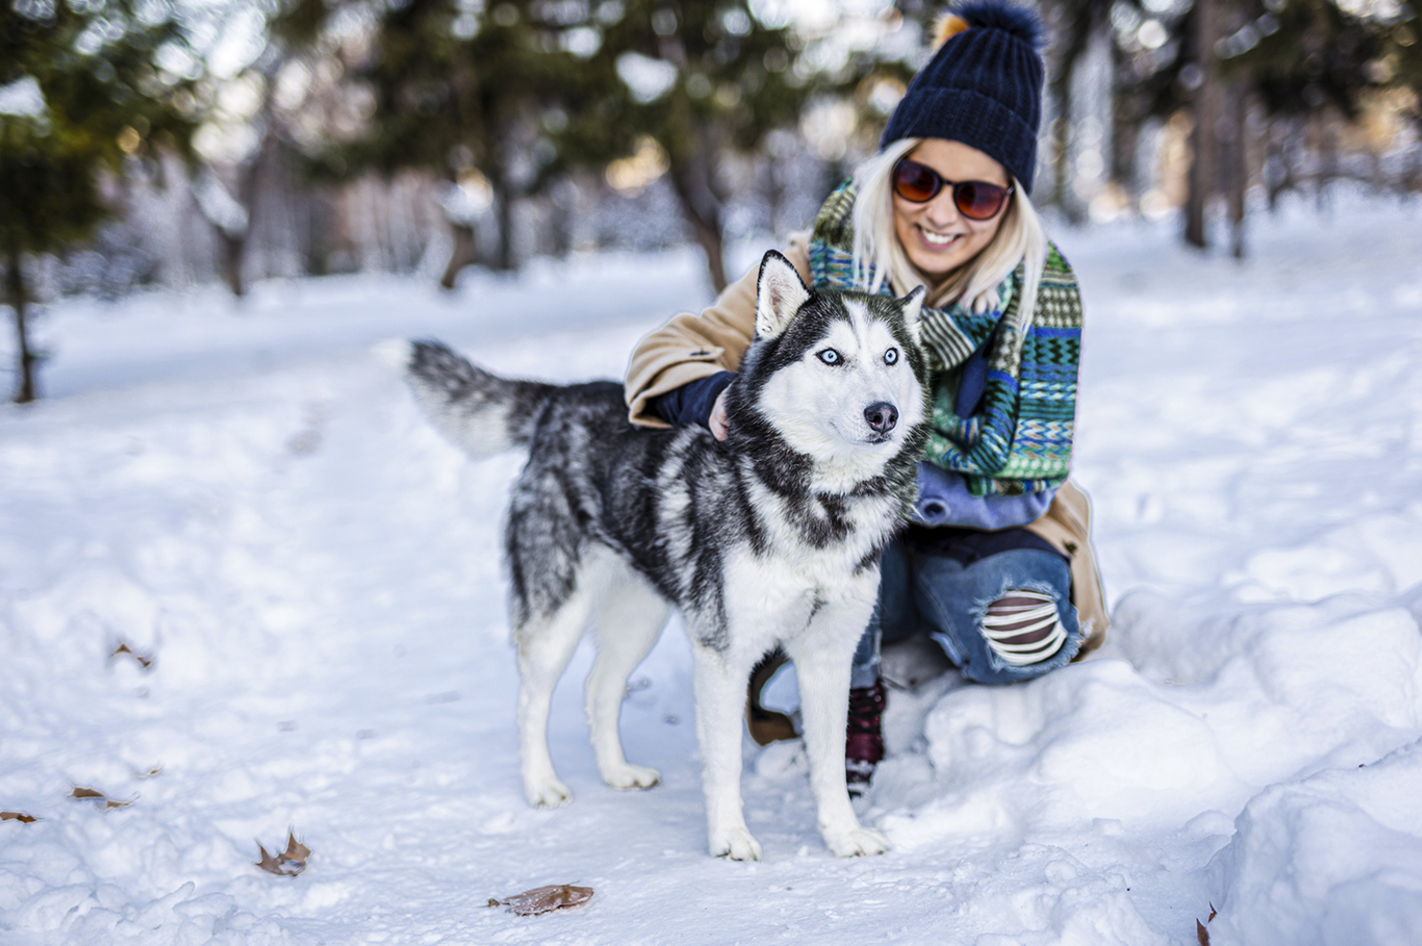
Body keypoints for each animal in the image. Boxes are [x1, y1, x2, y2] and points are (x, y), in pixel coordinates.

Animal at [383, 250, 927, 853]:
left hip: (637, 617)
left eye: (890, 357)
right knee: (530, 701)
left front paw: (843, 835)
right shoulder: (723, 653)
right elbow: (725, 760)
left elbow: (829, 762)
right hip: (558, 619)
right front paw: (730, 838)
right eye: (831, 356)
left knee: (599, 688)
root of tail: (561, 398)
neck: (822, 501)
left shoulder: (829, 654)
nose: (883, 414)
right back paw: (541, 783)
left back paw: (617, 772)